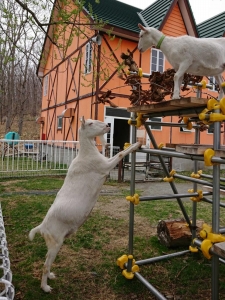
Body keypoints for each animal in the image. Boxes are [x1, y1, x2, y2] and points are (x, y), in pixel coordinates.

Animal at [28, 116, 141, 292]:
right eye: (90, 123)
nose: (107, 125)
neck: (86, 153)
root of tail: (42, 227)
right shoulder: (104, 167)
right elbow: (121, 153)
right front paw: (136, 144)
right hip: (55, 242)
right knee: (45, 265)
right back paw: (45, 287)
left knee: (48, 262)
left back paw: (51, 276)